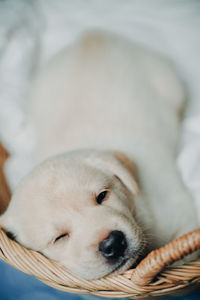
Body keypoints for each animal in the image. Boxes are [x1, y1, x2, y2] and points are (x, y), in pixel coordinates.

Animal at [0, 30, 198, 278]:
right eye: (59, 237)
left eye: (102, 196)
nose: (113, 243)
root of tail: (93, 35)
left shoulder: (181, 214)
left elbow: (181, 254)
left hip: (167, 81)